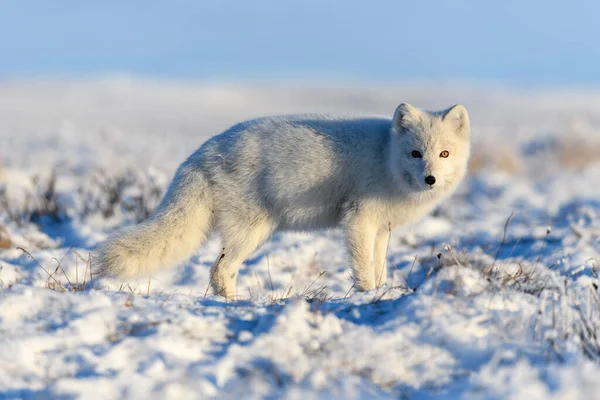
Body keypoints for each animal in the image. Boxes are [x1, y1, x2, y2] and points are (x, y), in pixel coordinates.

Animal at [96, 103, 472, 296]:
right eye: (415, 153)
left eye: (444, 153)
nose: (430, 179)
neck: (385, 155)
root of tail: (203, 152)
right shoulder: (358, 221)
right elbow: (364, 268)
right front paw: (366, 296)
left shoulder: (381, 229)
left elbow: (379, 266)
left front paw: (381, 292)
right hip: (252, 231)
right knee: (219, 270)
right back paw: (234, 304)